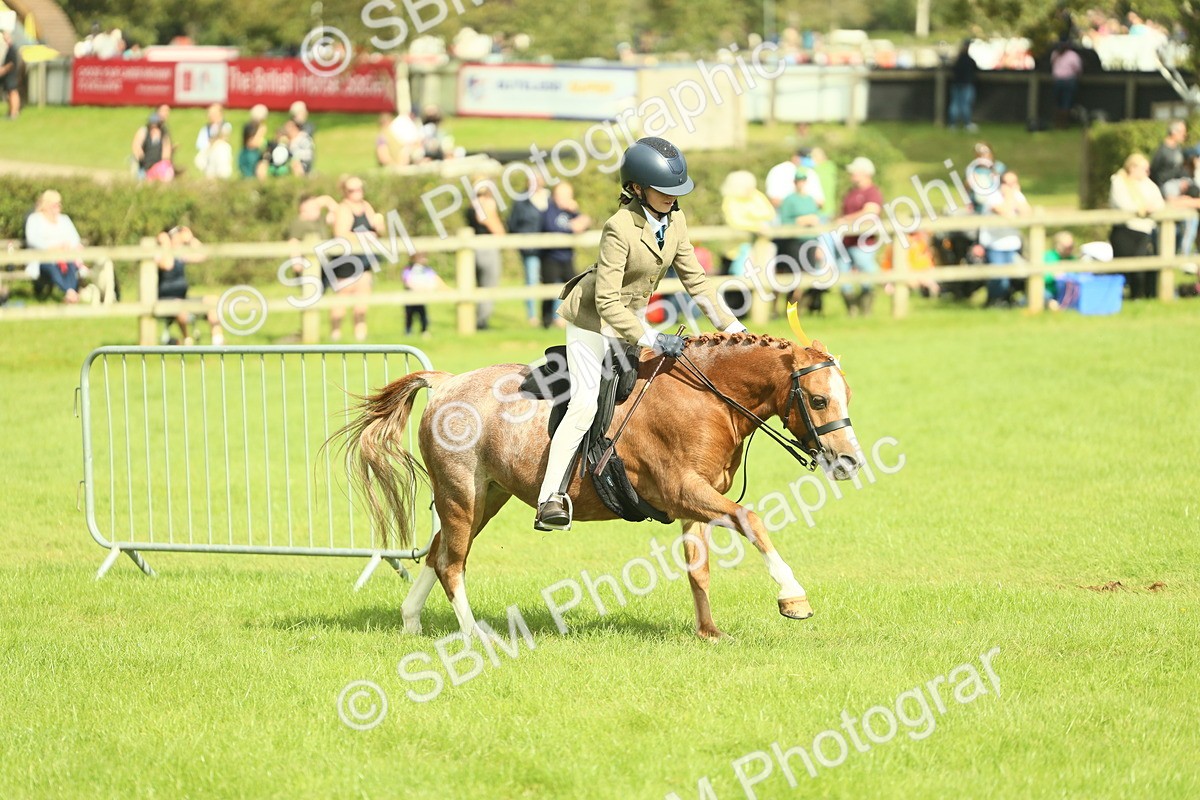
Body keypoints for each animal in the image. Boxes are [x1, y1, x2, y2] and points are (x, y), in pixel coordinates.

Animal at [329, 332, 861, 640]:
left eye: (846, 394)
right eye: (818, 400)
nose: (850, 462)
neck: (704, 397)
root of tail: (445, 383)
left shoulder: (695, 502)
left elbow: (699, 570)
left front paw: (709, 633)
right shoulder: (684, 490)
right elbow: (751, 520)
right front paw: (793, 597)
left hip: (486, 497)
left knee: (438, 551)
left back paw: (410, 622)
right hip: (460, 494)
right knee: (450, 563)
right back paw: (475, 636)